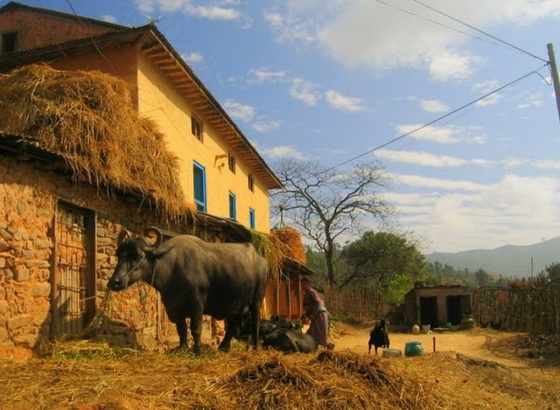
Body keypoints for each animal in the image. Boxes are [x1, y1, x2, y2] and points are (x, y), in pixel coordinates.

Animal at [109, 229, 270, 354]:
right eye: (119, 255)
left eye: (137, 255)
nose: (114, 282)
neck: (173, 267)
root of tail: (261, 260)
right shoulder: (173, 306)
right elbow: (181, 328)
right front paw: (182, 347)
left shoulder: (197, 304)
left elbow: (195, 328)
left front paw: (197, 350)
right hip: (234, 305)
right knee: (232, 326)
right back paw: (224, 347)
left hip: (257, 300)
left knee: (255, 322)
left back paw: (255, 346)